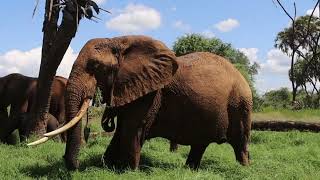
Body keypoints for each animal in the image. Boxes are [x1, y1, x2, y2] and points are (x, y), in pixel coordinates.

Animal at [28, 34, 251, 170]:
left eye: (95, 66)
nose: (71, 165)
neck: (119, 41)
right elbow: (121, 130)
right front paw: (109, 165)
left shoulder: (150, 93)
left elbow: (131, 128)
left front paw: (127, 170)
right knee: (200, 144)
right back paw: (190, 170)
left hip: (240, 103)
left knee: (240, 143)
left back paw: (244, 168)